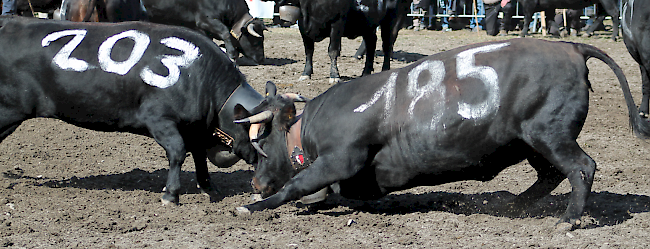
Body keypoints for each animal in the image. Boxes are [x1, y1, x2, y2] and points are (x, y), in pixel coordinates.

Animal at [0, 16, 264, 205]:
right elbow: (178, 152)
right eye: (263, 134)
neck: (200, 75)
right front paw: (170, 194)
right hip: (9, 111)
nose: (261, 183)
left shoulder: (194, 129)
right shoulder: (160, 120)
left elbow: (198, 155)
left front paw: (209, 187)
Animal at [233, 37, 648, 228]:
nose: (254, 183)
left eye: (261, 141)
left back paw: (569, 218)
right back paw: (515, 204)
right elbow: (323, 193)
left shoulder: (339, 158)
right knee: (550, 175)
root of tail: (571, 48)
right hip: (531, 142)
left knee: (582, 167)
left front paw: (252, 206)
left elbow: (296, 186)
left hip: (550, 134)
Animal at [268, 0, 410, 83]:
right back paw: (366, 72)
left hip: (393, 21)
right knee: (371, 44)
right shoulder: (303, 26)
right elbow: (309, 52)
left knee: (387, 46)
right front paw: (306, 73)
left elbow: (333, 50)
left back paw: (385, 69)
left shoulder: (336, 23)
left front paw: (334, 75)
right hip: (368, 25)